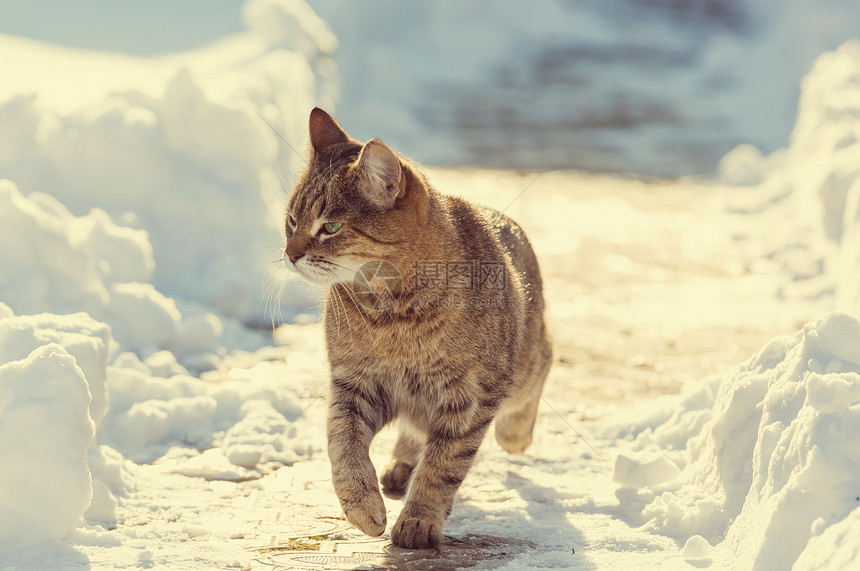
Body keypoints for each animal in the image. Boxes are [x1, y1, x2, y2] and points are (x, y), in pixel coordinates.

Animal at [282, 108, 552, 548]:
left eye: (331, 227)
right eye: (291, 220)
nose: (290, 254)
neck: (392, 315)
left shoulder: (470, 396)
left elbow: (443, 466)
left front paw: (419, 519)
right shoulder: (353, 383)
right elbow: (342, 445)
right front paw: (363, 506)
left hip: (520, 368)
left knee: (544, 360)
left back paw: (513, 433)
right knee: (415, 431)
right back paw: (401, 465)